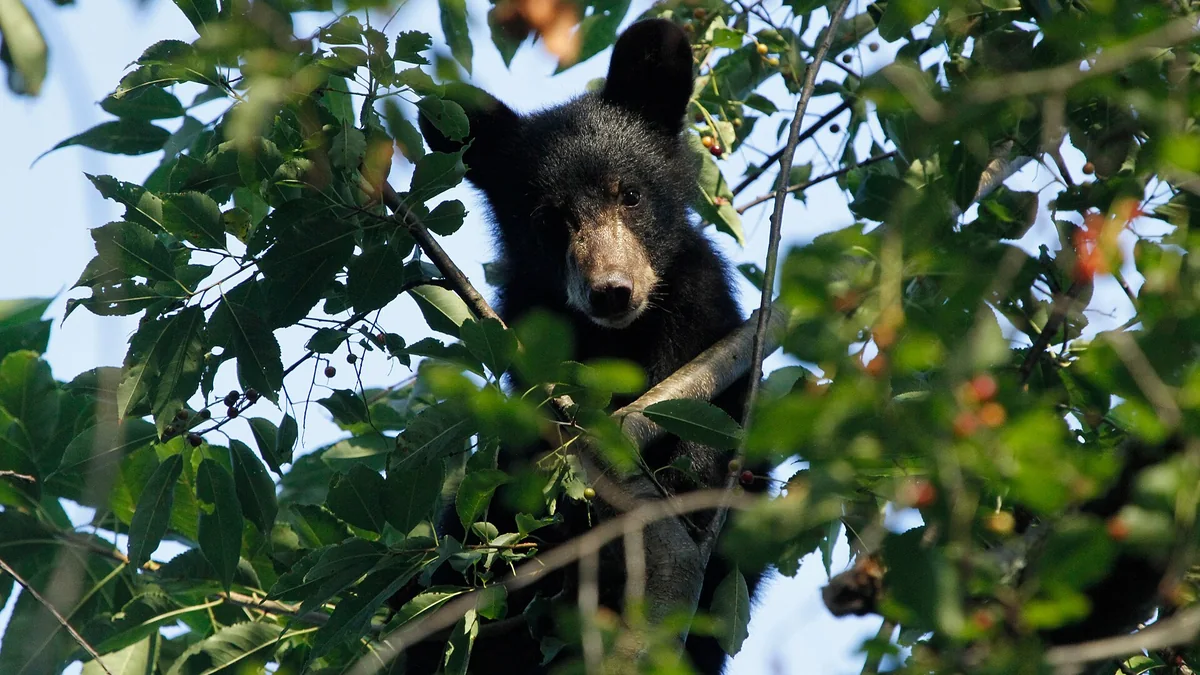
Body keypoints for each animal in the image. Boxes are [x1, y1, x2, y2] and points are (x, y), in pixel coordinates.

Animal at [403, 18, 764, 674]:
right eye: (550, 218)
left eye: (630, 195)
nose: (612, 291)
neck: (614, 342)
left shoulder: (704, 322)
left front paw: (684, 478)